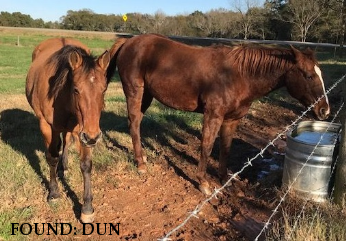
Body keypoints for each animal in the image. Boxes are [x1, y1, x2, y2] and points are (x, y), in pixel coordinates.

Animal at [25, 37, 109, 222]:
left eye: (104, 89)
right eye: (76, 89)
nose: (93, 137)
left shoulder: (82, 130)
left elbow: (86, 165)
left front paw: (87, 208)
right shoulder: (47, 127)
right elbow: (51, 157)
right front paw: (54, 193)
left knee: (66, 141)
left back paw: (64, 167)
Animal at [108, 34, 330, 196]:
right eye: (309, 76)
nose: (324, 110)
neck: (238, 75)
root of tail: (128, 41)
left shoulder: (232, 120)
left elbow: (225, 148)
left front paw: (224, 179)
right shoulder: (213, 115)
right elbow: (206, 147)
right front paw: (203, 183)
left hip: (146, 95)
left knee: (136, 123)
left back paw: (143, 157)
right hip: (135, 92)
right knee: (134, 123)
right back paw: (140, 163)